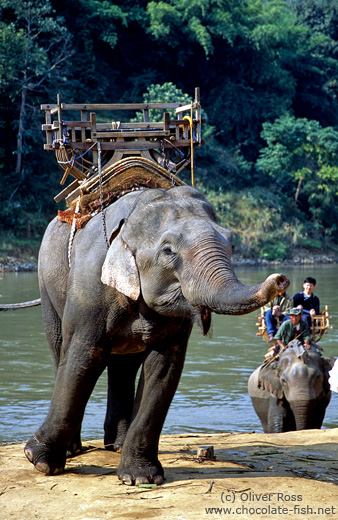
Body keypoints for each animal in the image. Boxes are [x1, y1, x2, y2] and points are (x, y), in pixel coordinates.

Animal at [23, 185, 288, 486]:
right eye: (168, 250)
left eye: (231, 243)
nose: (280, 279)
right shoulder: (89, 285)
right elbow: (84, 356)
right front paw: (40, 461)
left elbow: (163, 368)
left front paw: (141, 478)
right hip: (47, 285)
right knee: (61, 349)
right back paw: (73, 449)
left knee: (123, 366)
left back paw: (117, 445)